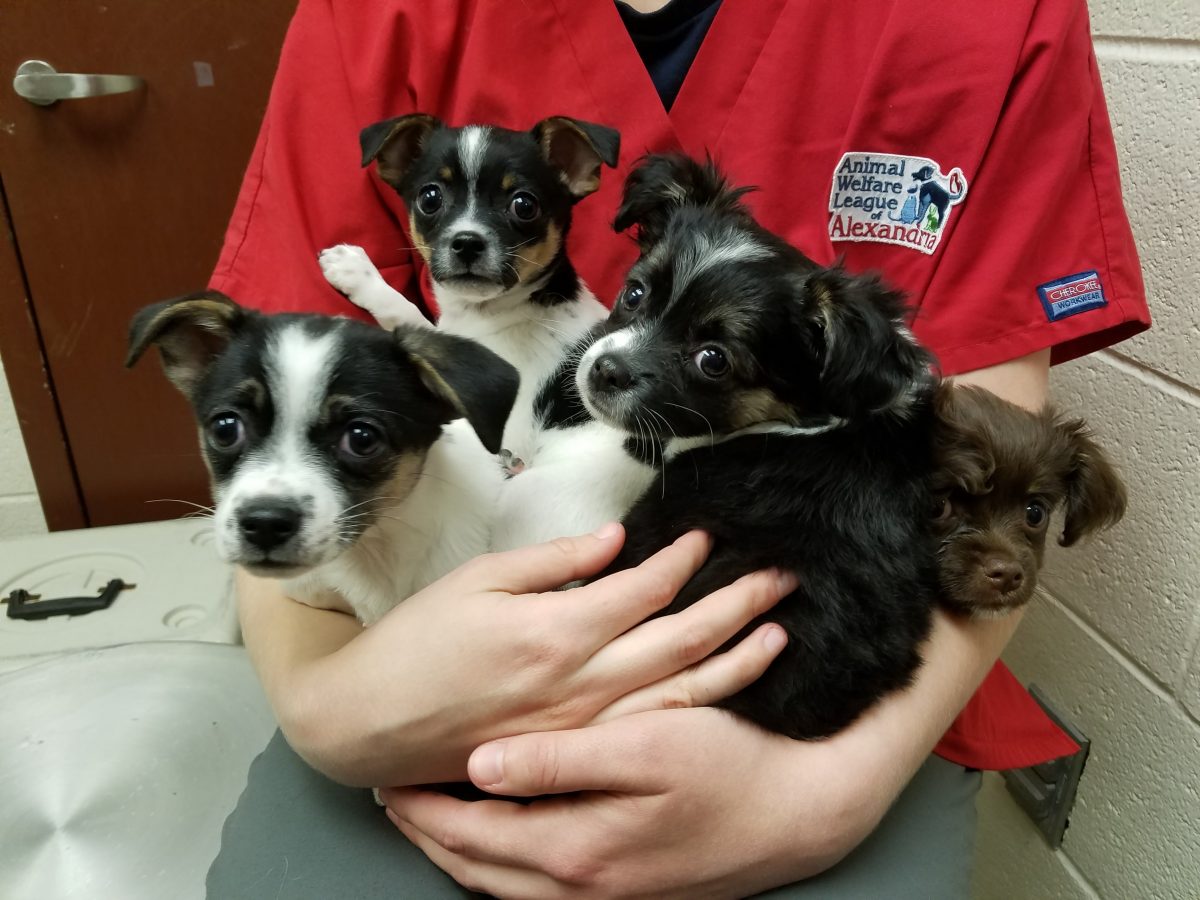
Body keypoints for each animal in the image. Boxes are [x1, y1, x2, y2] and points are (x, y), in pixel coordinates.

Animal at [319, 114, 619, 458]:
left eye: (524, 205)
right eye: (430, 198)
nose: (467, 242)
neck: (487, 314)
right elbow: (412, 317)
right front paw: (355, 271)